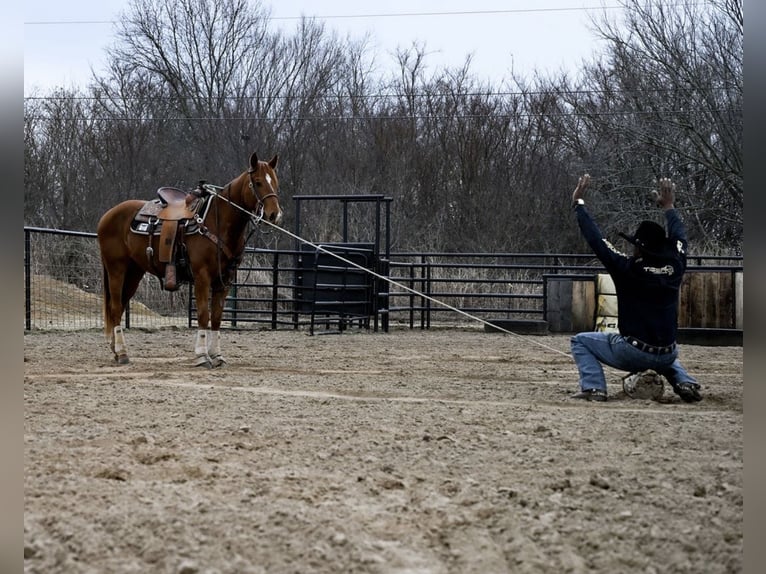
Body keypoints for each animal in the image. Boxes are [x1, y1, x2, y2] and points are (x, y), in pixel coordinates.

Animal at [97, 152, 283, 367]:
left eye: (275, 182)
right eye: (258, 182)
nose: (274, 214)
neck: (217, 222)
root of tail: (107, 216)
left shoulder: (224, 280)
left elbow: (216, 317)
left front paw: (217, 355)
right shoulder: (202, 276)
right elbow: (202, 315)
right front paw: (202, 356)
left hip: (134, 272)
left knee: (118, 307)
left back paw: (116, 350)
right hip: (116, 269)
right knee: (115, 307)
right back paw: (122, 353)